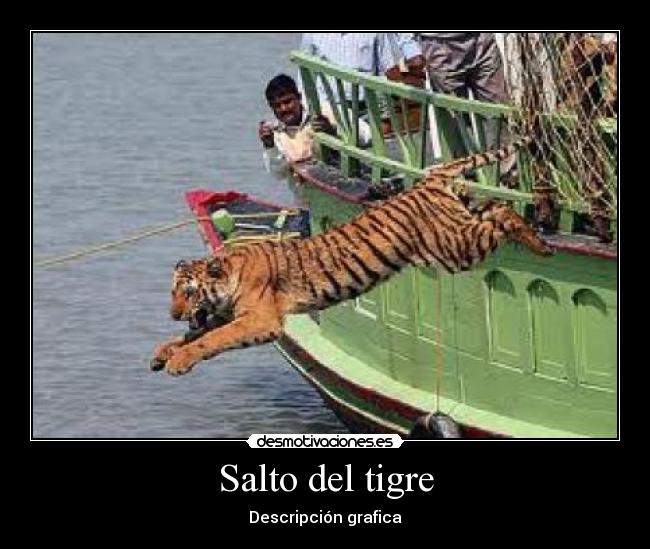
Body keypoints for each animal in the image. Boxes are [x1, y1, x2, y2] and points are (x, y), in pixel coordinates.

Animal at [151, 137, 553, 376]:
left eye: (188, 291)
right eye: (172, 292)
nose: (172, 313)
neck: (228, 279)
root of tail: (430, 177)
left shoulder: (260, 320)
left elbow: (210, 339)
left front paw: (178, 361)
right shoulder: (230, 314)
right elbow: (193, 334)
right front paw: (162, 352)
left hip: (456, 248)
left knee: (504, 213)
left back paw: (541, 243)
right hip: (461, 222)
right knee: (494, 206)